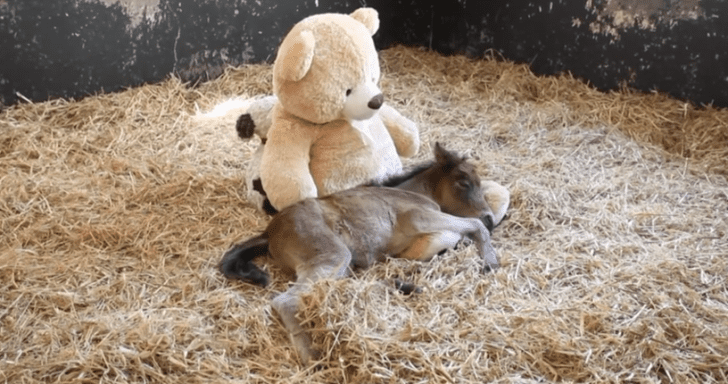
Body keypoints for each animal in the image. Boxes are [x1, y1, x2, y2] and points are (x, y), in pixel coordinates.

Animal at [219, 142, 498, 364]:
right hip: (334, 254)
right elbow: (473, 226)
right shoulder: (419, 217)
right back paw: (313, 356)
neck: (414, 192)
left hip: (339, 264)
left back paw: (404, 285)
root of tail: (269, 231)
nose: (491, 218)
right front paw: (490, 261)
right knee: (285, 300)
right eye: (464, 182)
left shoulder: (414, 245)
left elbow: (448, 239)